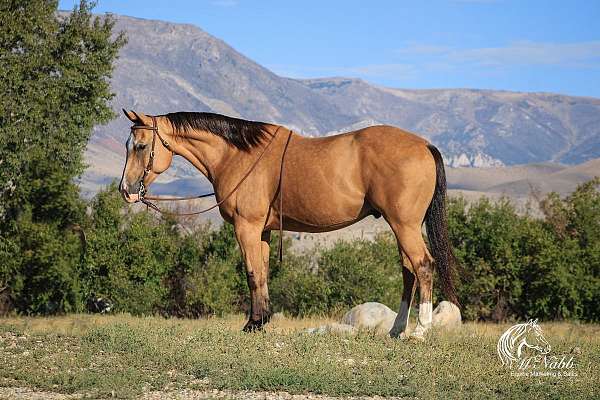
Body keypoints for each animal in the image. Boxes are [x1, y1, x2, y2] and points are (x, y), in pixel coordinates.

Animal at [120, 110, 460, 340]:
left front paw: (253, 324)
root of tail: (425, 145)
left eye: (140, 146)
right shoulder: (264, 231)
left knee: (423, 265)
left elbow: (252, 274)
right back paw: (396, 330)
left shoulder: (246, 227)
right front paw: (261, 321)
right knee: (408, 271)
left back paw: (419, 331)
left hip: (404, 225)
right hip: (402, 227)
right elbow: (263, 272)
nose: (126, 189)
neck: (239, 155)